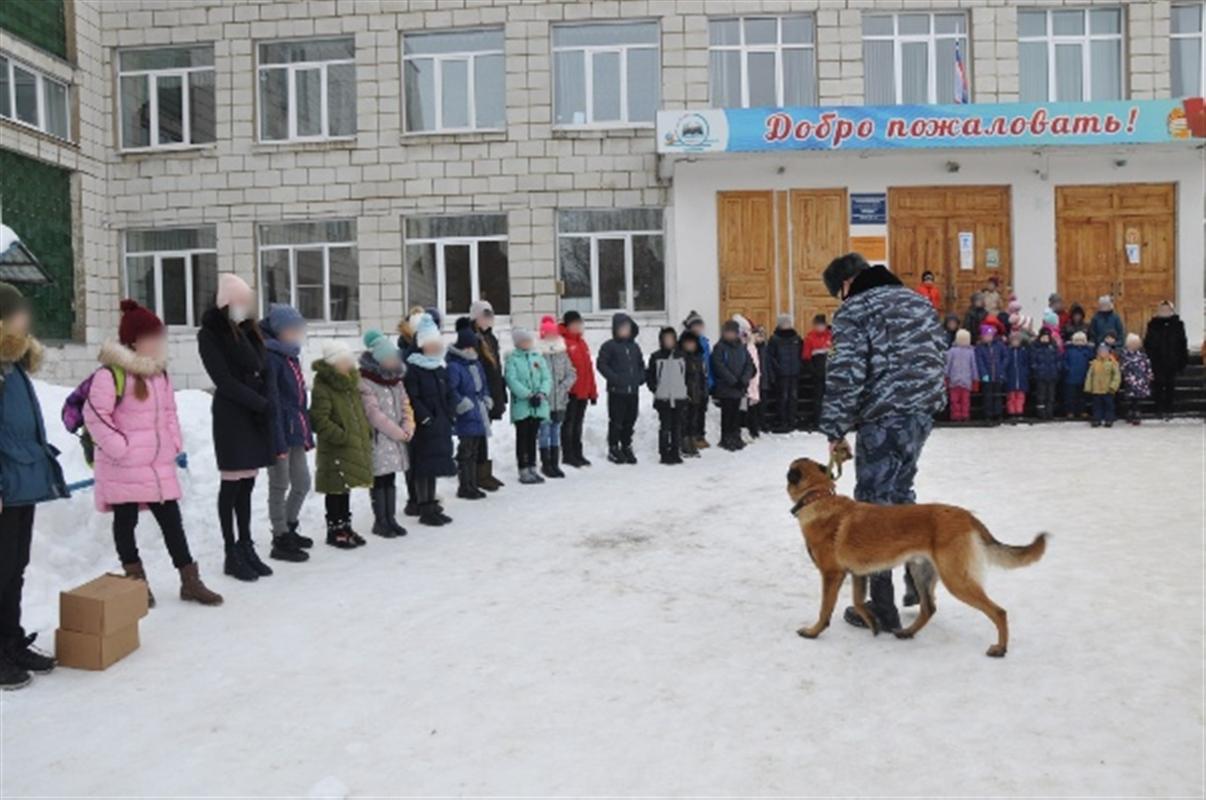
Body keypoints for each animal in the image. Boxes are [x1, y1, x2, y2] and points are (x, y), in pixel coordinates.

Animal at [786, 456, 1041, 656]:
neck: (817, 496)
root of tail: (967, 516)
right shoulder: (858, 574)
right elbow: (858, 601)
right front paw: (873, 624)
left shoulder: (832, 575)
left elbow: (825, 609)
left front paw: (813, 631)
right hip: (921, 573)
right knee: (928, 608)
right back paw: (907, 632)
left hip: (956, 580)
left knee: (998, 611)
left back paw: (1000, 648)